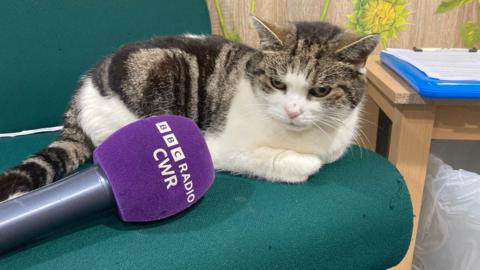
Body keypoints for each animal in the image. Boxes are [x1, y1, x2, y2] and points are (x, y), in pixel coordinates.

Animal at [0, 16, 376, 201]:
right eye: (277, 83)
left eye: (321, 90)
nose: (294, 112)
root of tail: (82, 92)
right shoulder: (219, 148)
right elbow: (301, 165)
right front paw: (301, 163)